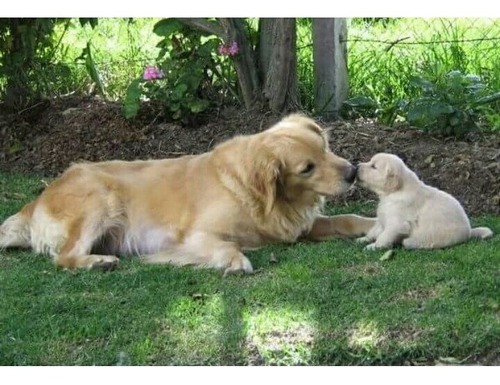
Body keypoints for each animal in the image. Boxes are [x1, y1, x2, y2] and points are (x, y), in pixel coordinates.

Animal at [0, 113, 376, 272]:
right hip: (102, 199)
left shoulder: (299, 225)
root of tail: (38, 199)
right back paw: (97, 262)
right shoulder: (194, 235)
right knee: (63, 257)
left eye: (325, 147)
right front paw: (235, 261)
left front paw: (373, 224)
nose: (352, 172)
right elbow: (225, 246)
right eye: (307, 168)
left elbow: (345, 218)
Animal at [358, 153, 494, 249]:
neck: (391, 194)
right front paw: (363, 239)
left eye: (373, 166)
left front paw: (373, 246)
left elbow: (383, 236)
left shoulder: (397, 224)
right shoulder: (383, 219)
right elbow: (374, 231)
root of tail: (469, 232)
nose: (357, 166)